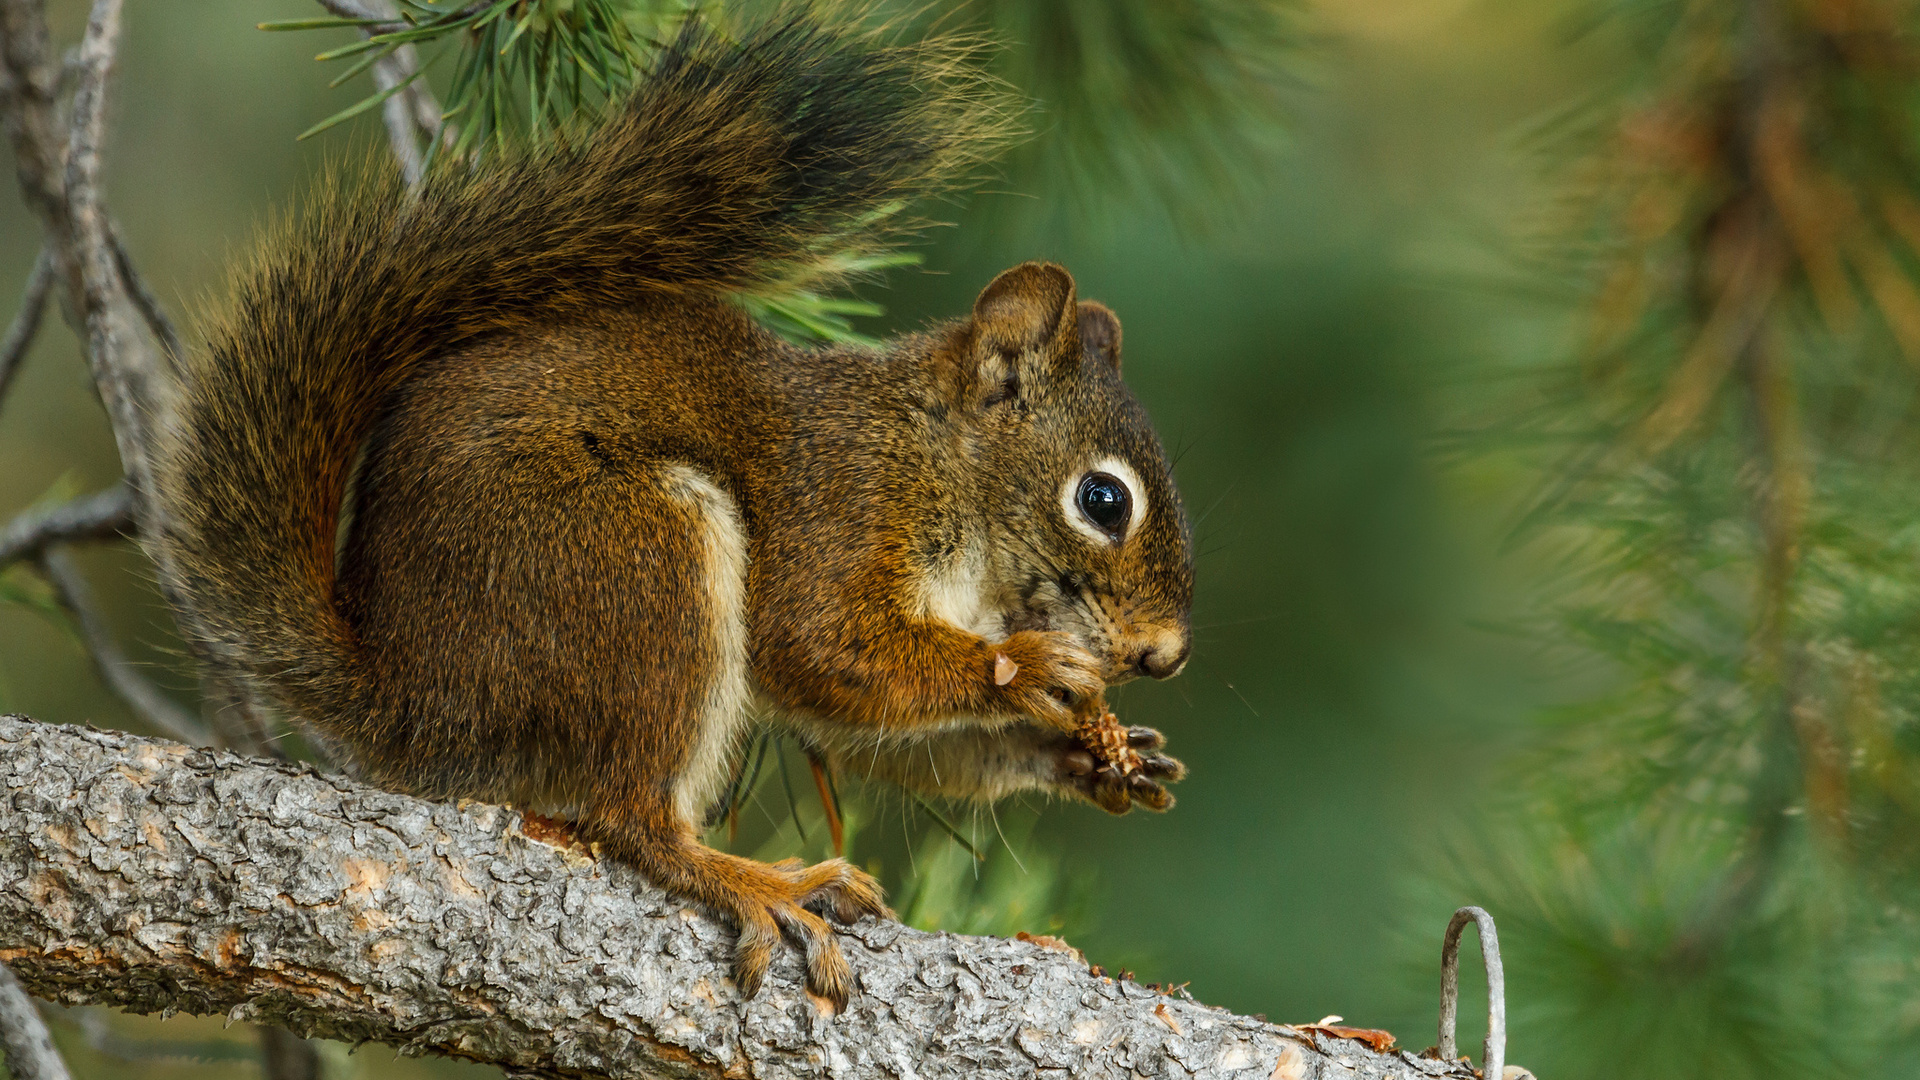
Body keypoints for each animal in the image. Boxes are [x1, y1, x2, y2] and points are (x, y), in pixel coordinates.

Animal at [149, 8, 1190, 1006]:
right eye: (1103, 499)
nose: (1165, 657)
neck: (946, 469)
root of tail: (409, 696)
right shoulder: (843, 504)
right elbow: (824, 648)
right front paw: (1029, 667)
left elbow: (884, 734)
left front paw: (1097, 755)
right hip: (635, 561)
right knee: (631, 819)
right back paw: (764, 884)